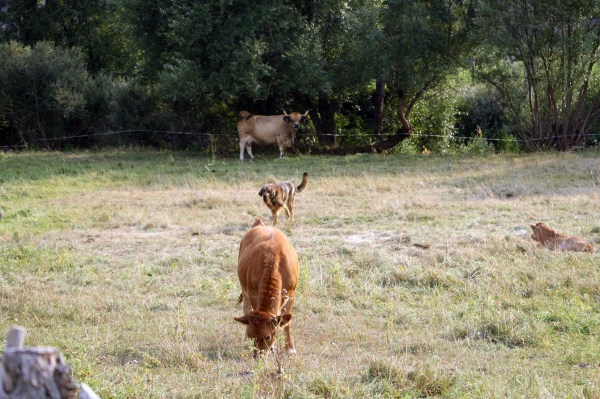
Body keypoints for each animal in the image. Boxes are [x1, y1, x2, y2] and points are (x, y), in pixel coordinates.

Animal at [234, 219, 300, 356]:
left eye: (267, 336)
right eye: (251, 336)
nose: (257, 356)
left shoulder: (291, 295)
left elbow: (286, 323)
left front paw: (290, 349)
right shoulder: (253, 293)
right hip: (244, 289)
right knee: (246, 308)